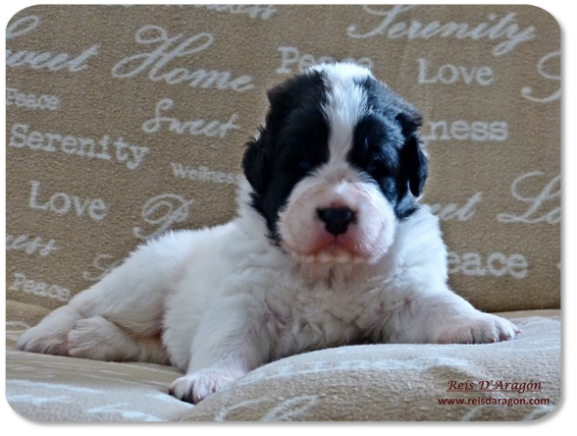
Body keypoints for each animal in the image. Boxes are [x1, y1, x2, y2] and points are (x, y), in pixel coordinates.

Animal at [15, 63, 520, 404]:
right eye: (300, 163)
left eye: (376, 167)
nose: (337, 213)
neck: (329, 272)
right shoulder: (244, 297)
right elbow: (226, 337)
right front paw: (207, 379)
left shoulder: (403, 294)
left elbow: (438, 304)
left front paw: (481, 323)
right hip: (146, 278)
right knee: (90, 303)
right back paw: (49, 335)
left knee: (153, 344)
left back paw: (92, 339)